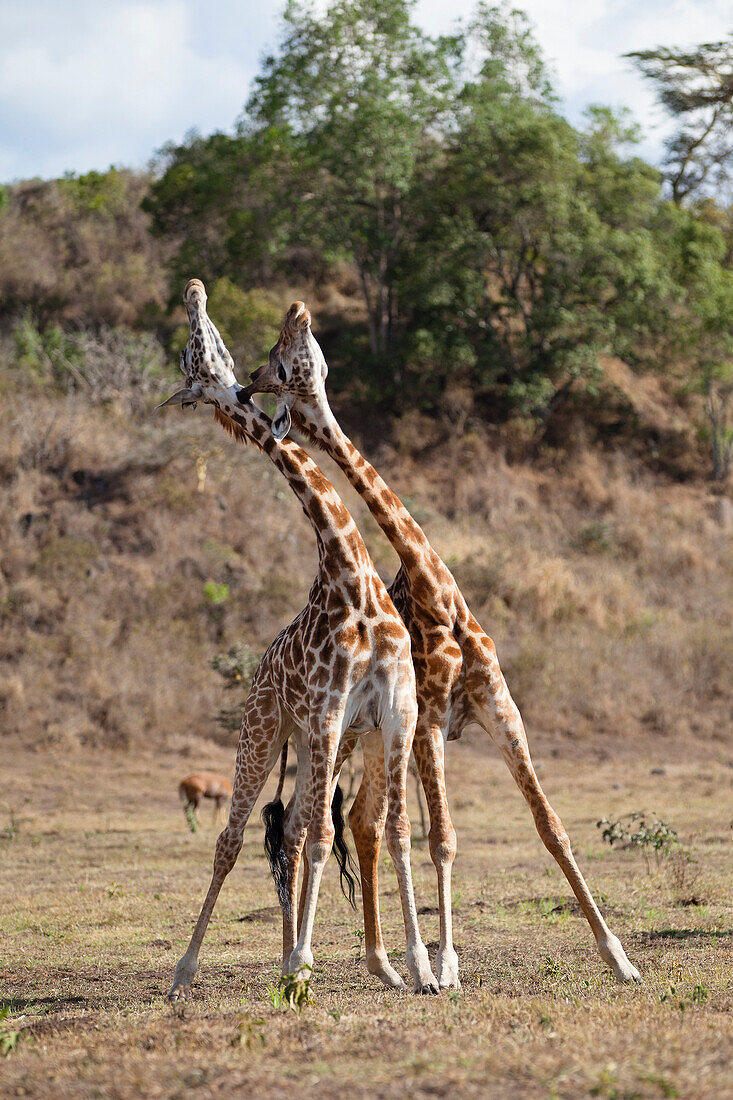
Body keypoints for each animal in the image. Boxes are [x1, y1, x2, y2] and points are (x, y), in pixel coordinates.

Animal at [162, 281, 435, 998]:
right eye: (196, 356)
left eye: (274, 361)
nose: (194, 289)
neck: (351, 577)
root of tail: (260, 669)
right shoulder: (333, 708)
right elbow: (318, 839)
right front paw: (304, 965)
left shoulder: (393, 710)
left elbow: (398, 833)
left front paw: (424, 968)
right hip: (266, 729)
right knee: (237, 837)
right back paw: (191, 972)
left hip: (312, 741)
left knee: (288, 829)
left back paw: (295, 960)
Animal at [241, 303, 638, 990]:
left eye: (283, 357)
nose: (296, 312)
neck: (438, 591)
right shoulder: (430, 720)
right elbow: (444, 838)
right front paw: (448, 963)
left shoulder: (500, 708)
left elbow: (552, 826)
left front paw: (619, 957)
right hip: (343, 734)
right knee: (307, 823)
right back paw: (308, 961)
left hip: (371, 740)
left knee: (354, 821)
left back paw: (366, 962)